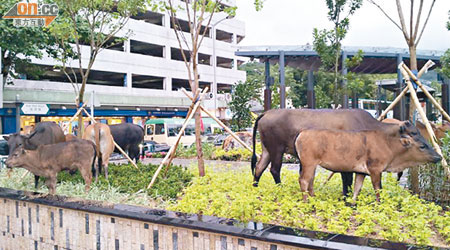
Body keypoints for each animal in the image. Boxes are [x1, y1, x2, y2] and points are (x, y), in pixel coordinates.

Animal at [296, 121, 440, 201]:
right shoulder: (375, 169)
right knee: (304, 180)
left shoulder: (361, 172)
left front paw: (353, 203)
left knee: (311, 181)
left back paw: (313, 197)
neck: (389, 145)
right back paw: (306, 201)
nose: (439, 156)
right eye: (422, 146)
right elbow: (378, 189)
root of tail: (302, 134)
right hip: (308, 163)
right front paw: (379, 204)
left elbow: (357, 188)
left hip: (312, 165)